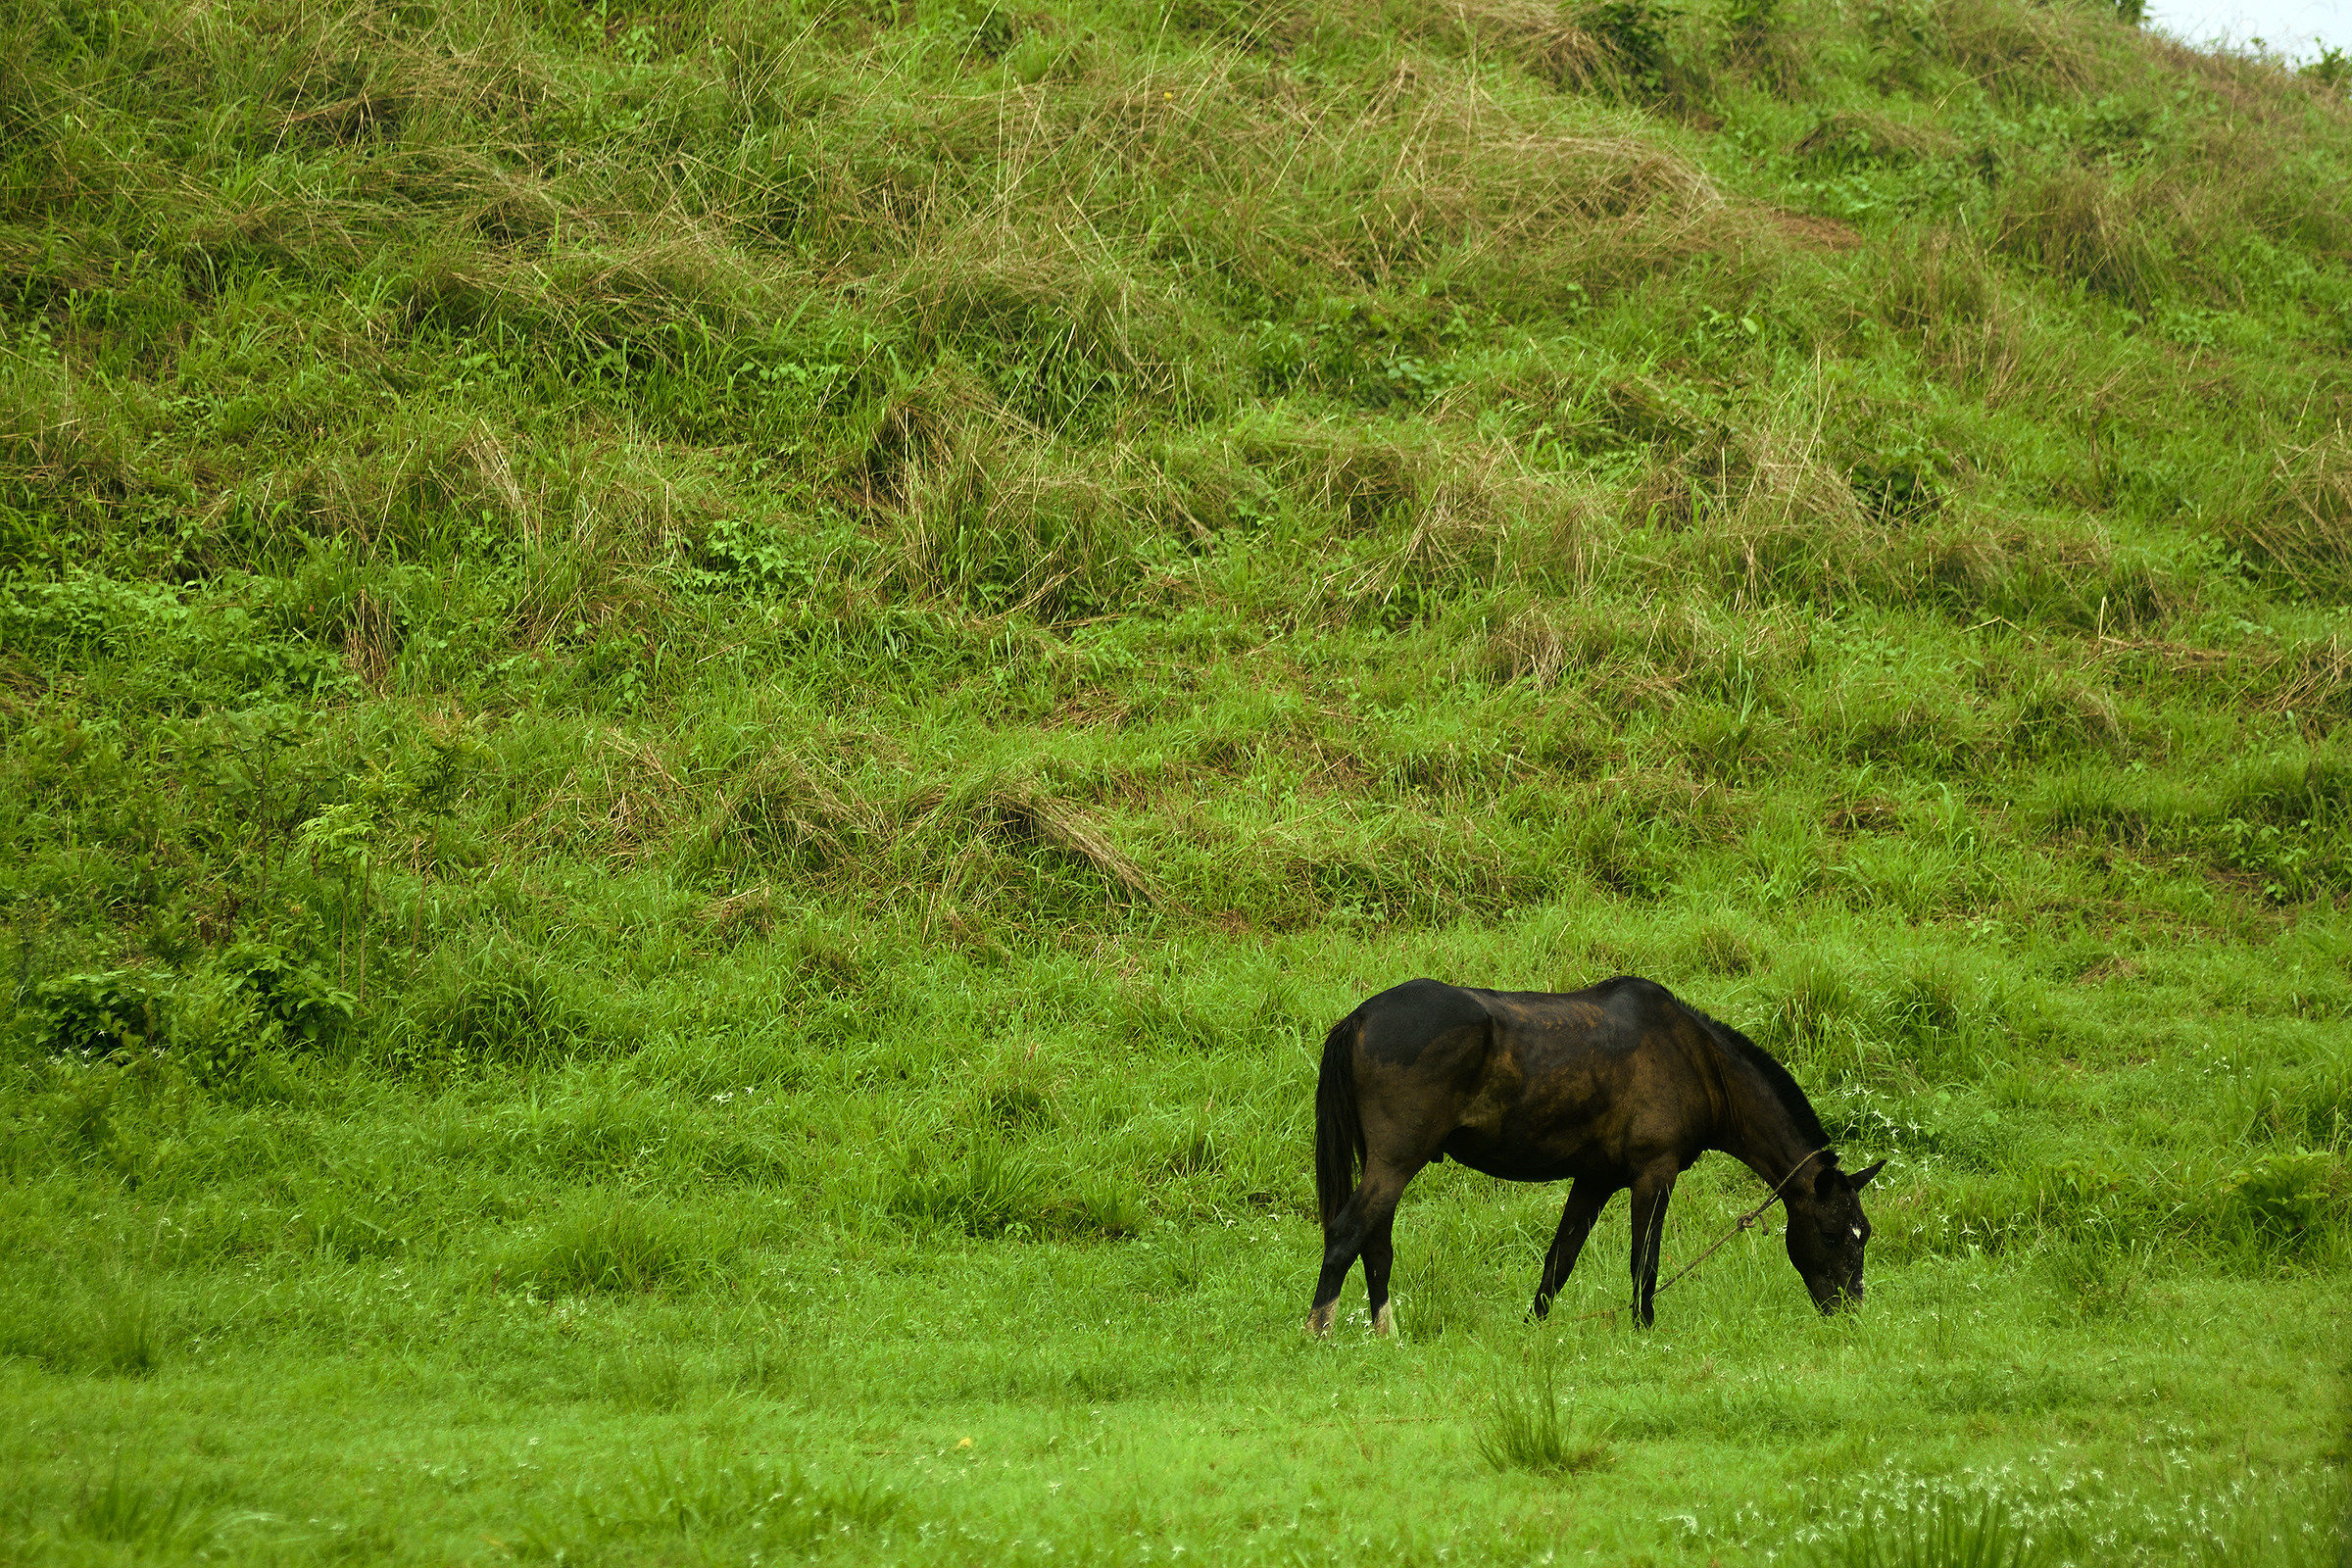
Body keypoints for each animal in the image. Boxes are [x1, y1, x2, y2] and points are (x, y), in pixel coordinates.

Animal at [1306, 975, 1884, 1336]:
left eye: (1865, 1235)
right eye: (1831, 1233)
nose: (1852, 1311)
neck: (1694, 1057)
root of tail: (1361, 1017)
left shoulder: (1594, 1180)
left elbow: (1559, 1261)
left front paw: (1535, 1332)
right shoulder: (1653, 1174)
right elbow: (1644, 1261)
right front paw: (1643, 1332)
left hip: (1385, 1164)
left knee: (1375, 1244)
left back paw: (1386, 1334)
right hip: (1395, 1161)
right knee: (1347, 1234)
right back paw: (1319, 1330)